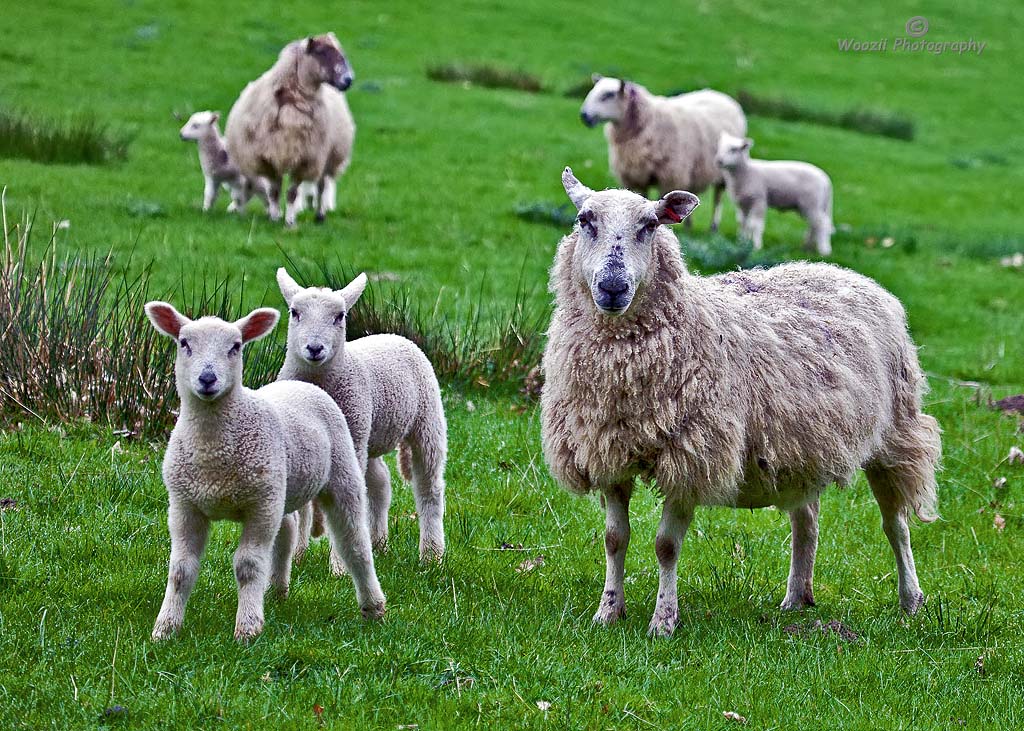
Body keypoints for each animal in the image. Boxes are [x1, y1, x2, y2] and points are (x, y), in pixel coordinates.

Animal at [143, 296, 385, 638]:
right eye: (184, 343)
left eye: (235, 346)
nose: (207, 379)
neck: (213, 453)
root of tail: (302, 384)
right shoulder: (184, 505)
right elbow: (180, 569)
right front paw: (165, 629)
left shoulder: (259, 506)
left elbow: (248, 565)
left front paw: (247, 628)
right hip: (280, 488)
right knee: (287, 533)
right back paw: (276, 592)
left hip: (340, 475)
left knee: (355, 544)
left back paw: (372, 606)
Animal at [225, 32, 356, 226]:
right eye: (321, 51)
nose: (348, 80)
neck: (292, 99)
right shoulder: (268, 157)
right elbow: (274, 191)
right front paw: (274, 217)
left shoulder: (305, 158)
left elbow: (293, 193)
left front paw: (289, 220)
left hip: (328, 156)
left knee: (321, 185)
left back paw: (319, 215)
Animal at [274, 268, 446, 565]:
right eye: (294, 312)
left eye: (340, 316)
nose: (315, 348)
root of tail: (395, 335)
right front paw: (297, 556)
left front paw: (339, 566)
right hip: (369, 433)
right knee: (380, 482)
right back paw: (378, 542)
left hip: (425, 420)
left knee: (429, 488)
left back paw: (432, 555)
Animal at [540, 167, 937, 634]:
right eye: (584, 220)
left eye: (650, 225)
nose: (613, 287)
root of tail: (848, 274)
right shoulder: (607, 452)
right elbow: (615, 539)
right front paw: (607, 612)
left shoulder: (692, 456)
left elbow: (666, 546)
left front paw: (663, 622)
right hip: (801, 446)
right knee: (807, 522)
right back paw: (795, 599)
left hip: (895, 435)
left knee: (896, 525)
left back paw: (910, 600)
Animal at [581, 76, 749, 230]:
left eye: (608, 95)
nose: (584, 115)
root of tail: (718, 94)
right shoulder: (637, 175)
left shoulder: (669, 175)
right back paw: (689, 225)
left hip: (722, 171)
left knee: (717, 198)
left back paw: (714, 226)